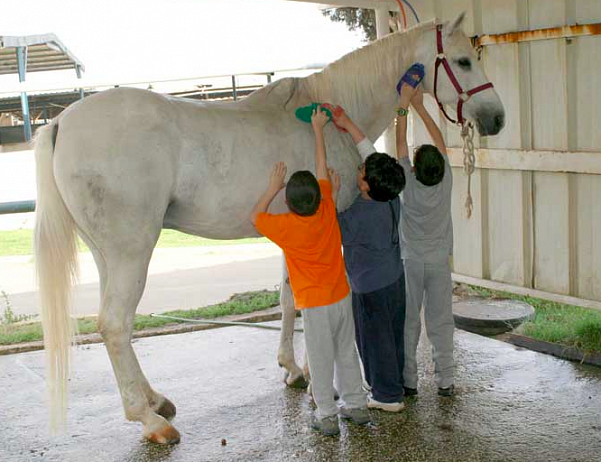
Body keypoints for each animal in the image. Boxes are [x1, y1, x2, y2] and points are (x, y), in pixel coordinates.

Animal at [35, 14, 504, 446]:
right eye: (463, 61)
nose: (497, 118)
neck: (328, 110)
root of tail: (61, 123)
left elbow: (289, 297)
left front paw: (294, 370)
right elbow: (319, 296)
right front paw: (318, 379)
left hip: (107, 255)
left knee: (116, 326)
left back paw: (155, 401)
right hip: (132, 251)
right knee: (115, 324)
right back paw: (151, 421)